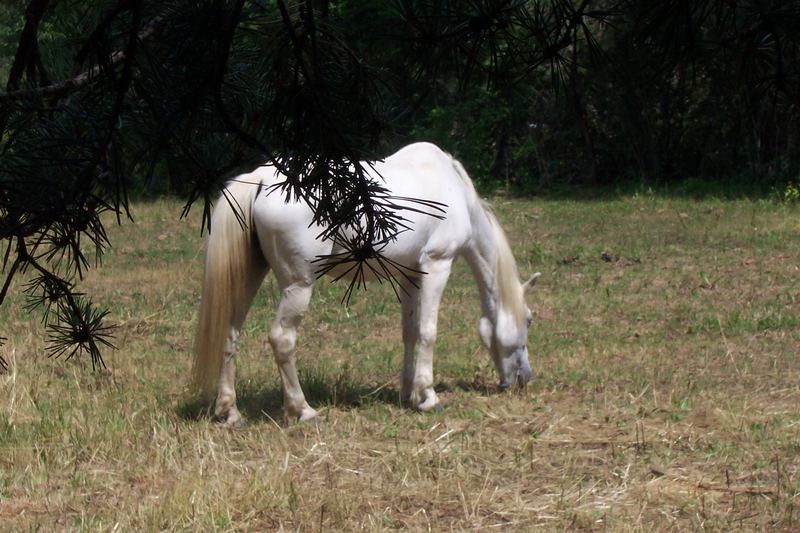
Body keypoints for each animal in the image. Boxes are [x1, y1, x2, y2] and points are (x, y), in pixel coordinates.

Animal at [194, 143, 540, 426]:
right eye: (529, 320)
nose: (524, 378)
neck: (454, 190)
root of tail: (262, 178)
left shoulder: (411, 275)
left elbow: (410, 332)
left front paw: (409, 393)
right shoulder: (437, 266)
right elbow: (428, 333)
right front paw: (429, 397)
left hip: (249, 277)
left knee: (230, 333)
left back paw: (230, 412)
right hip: (298, 285)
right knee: (282, 339)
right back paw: (303, 410)